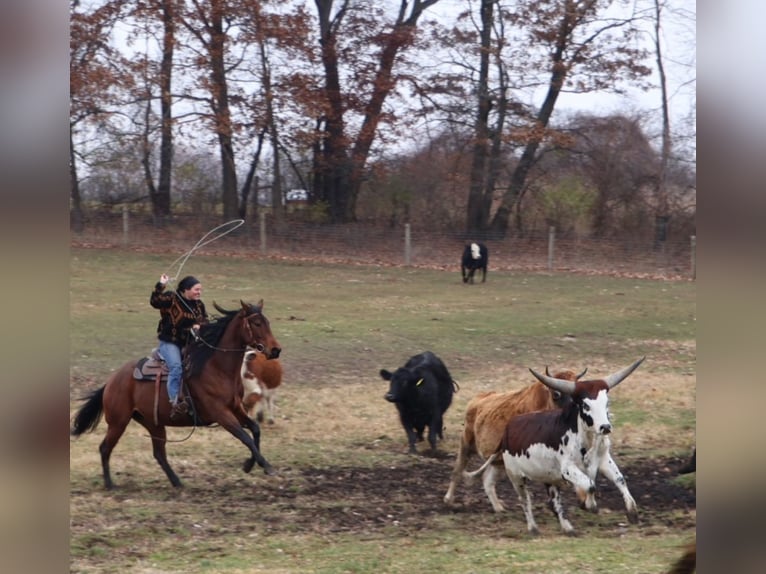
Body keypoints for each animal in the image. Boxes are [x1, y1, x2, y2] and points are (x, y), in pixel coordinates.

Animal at [71, 300, 281, 489]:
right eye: (257, 323)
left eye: (267, 322)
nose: (276, 350)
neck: (217, 367)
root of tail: (112, 381)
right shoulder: (221, 413)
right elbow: (245, 437)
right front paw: (267, 466)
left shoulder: (236, 407)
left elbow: (255, 429)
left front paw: (249, 464)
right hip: (118, 422)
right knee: (105, 448)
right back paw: (109, 484)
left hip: (152, 423)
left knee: (159, 453)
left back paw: (177, 482)